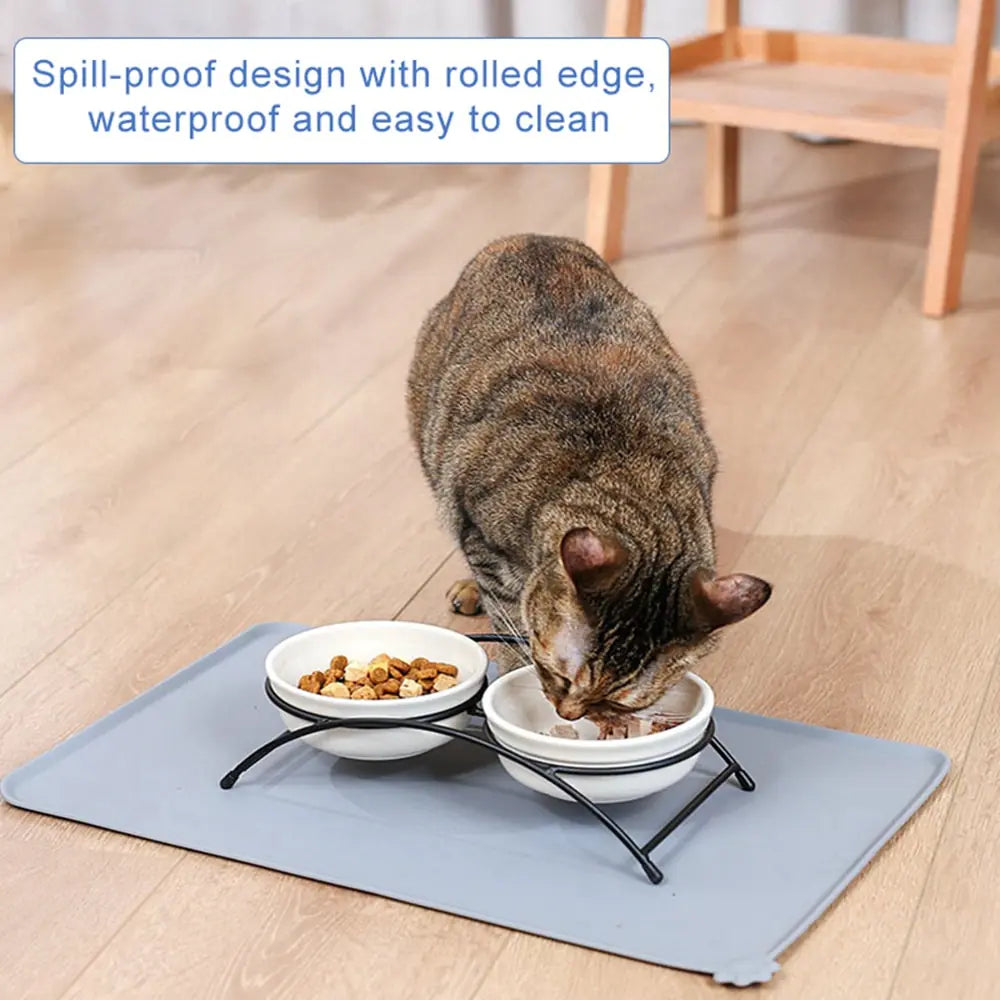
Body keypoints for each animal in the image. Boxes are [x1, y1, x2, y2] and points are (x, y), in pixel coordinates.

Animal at [402, 234, 768, 720]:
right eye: (558, 674)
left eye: (617, 702)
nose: (569, 714)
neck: (627, 478)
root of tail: (529, 238)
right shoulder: (482, 537)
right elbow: (509, 623)